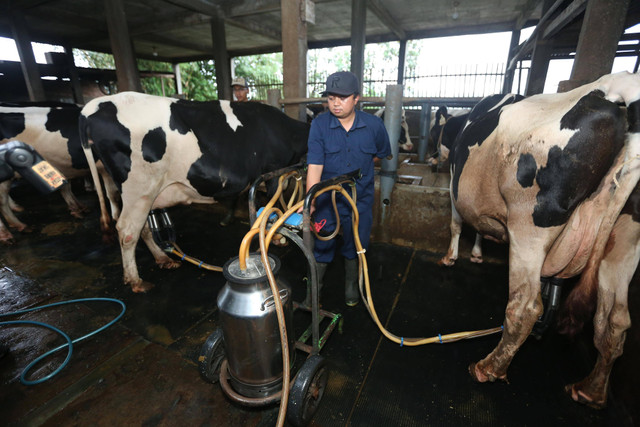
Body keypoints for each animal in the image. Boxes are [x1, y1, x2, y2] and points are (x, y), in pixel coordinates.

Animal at [81, 93, 312, 294]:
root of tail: (92, 107)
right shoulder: (272, 171)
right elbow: (272, 206)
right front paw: (276, 238)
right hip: (139, 188)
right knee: (127, 231)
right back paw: (135, 280)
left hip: (138, 193)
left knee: (142, 227)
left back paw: (163, 259)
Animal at [440, 72, 640, 410]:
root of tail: (618, 88)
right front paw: (477, 253)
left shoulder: (458, 187)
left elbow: (458, 222)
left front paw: (452, 257)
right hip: (623, 243)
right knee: (614, 322)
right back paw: (590, 390)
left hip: (528, 224)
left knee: (526, 306)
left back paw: (488, 368)